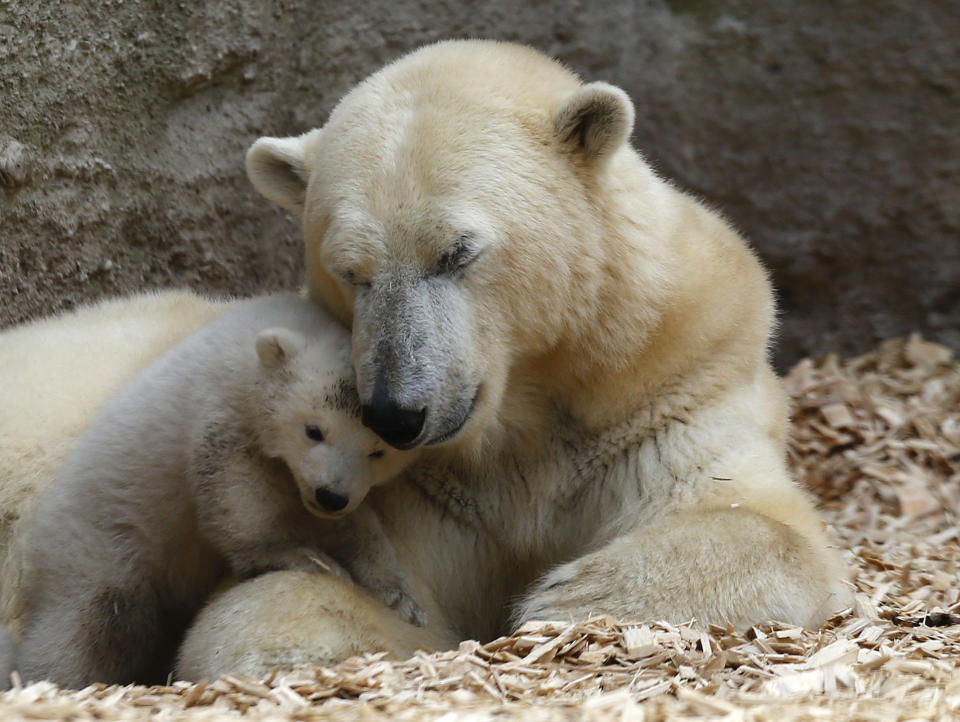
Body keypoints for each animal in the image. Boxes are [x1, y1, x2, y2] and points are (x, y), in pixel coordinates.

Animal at [178, 40, 848, 676]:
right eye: (350, 270)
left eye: (457, 252)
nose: (396, 413)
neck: (528, 406)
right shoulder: (428, 487)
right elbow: (349, 584)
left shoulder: (670, 393)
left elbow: (763, 522)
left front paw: (571, 598)